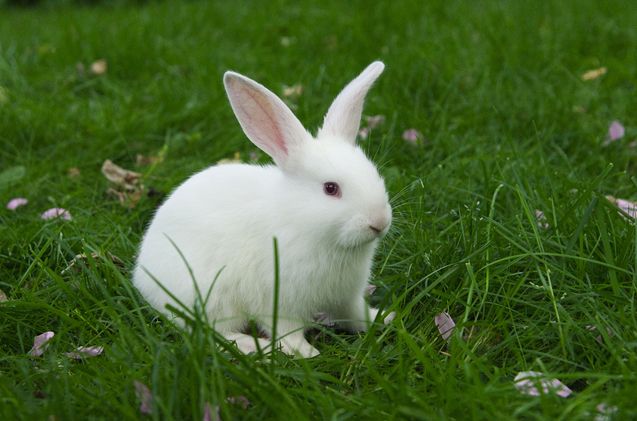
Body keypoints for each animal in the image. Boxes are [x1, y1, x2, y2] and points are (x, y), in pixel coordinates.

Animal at [134, 60, 392, 356]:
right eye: (330, 188)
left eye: (374, 173)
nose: (379, 222)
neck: (302, 222)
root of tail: (141, 274)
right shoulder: (279, 301)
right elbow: (286, 331)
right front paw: (305, 353)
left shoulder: (347, 296)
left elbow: (356, 314)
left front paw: (384, 319)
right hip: (211, 298)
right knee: (210, 331)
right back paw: (252, 346)